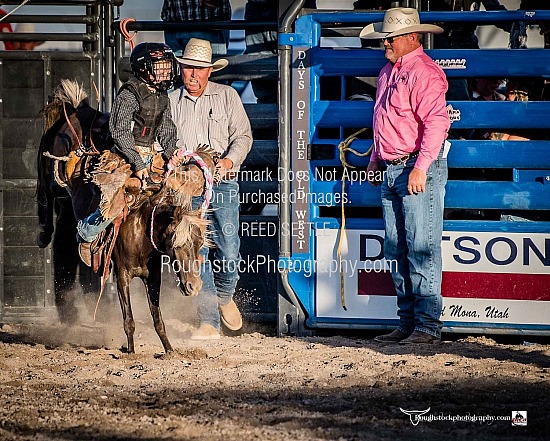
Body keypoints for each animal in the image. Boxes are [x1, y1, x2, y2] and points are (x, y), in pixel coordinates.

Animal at [36, 80, 217, 354]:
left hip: (68, 201)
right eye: (177, 244)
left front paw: (169, 350)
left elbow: (158, 318)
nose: (194, 287)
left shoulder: (152, 276)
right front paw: (131, 351)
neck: (140, 232)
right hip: (52, 169)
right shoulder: (121, 275)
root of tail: (78, 110)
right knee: (44, 186)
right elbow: (129, 319)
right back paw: (44, 232)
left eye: (198, 244)